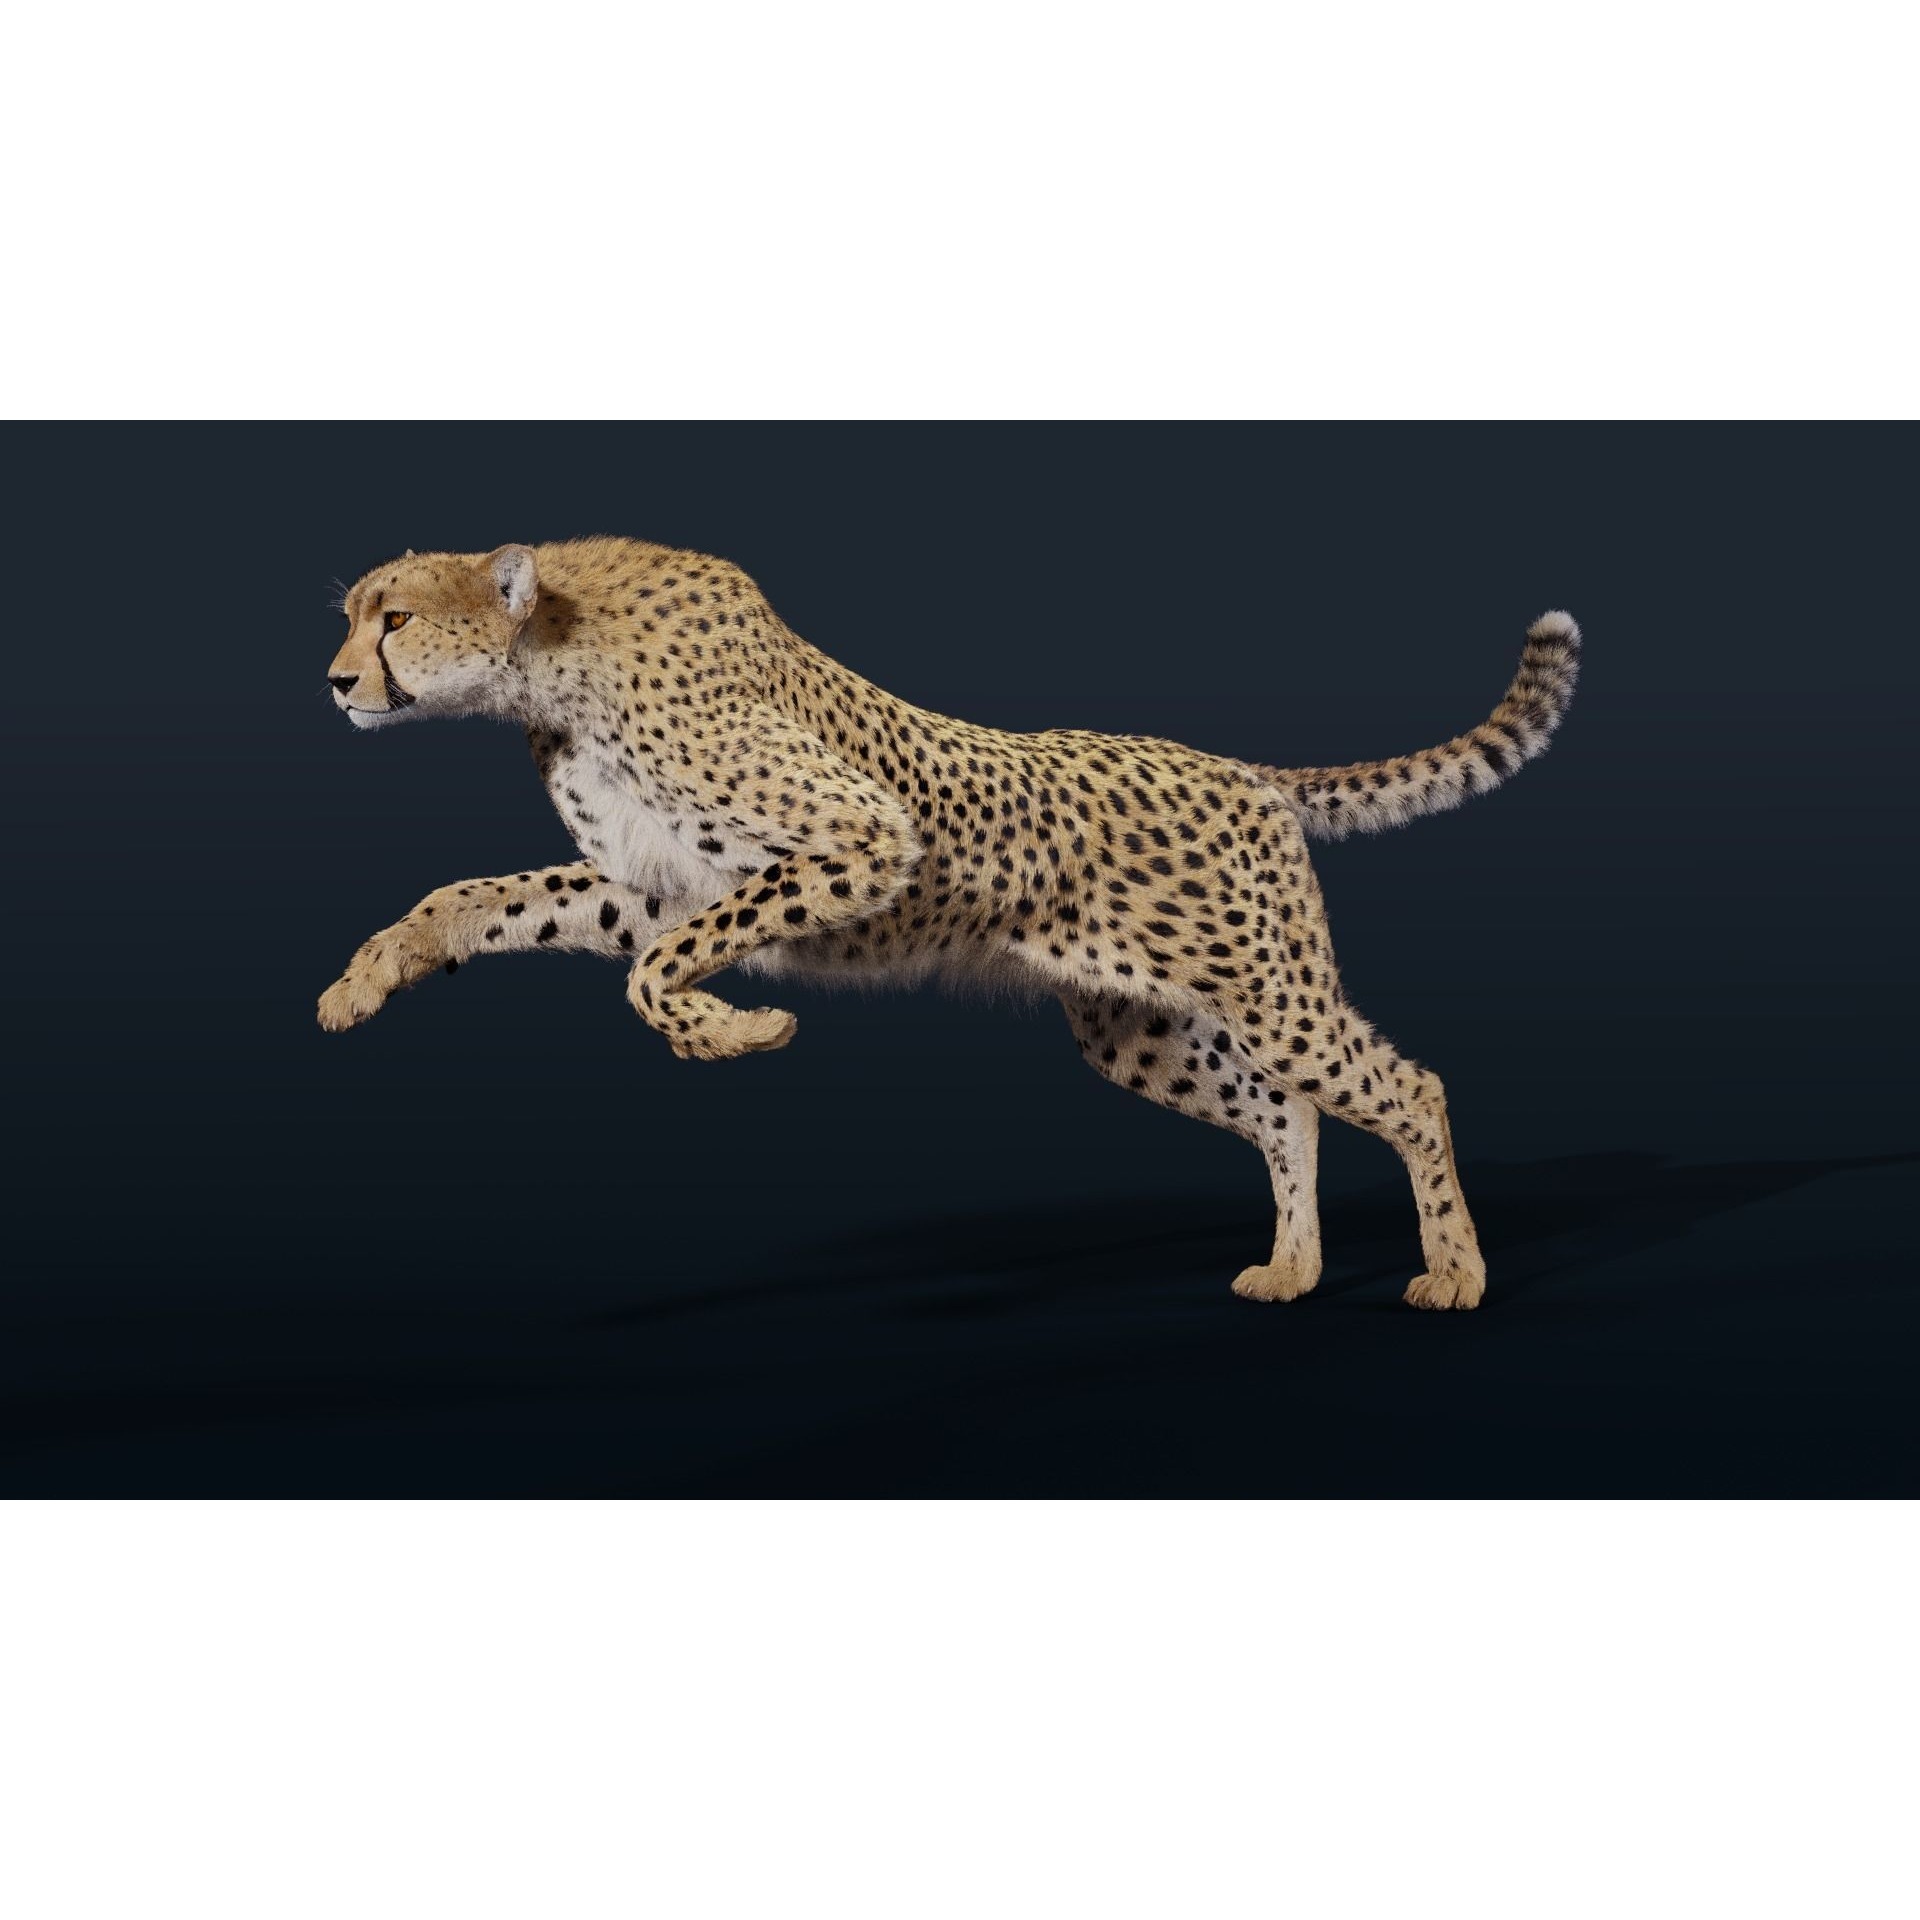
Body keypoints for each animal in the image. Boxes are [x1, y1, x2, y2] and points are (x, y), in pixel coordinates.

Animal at [319, 537, 1580, 1310]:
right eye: (353, 618)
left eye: (394, 619)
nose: (334, 683)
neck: (549, 653)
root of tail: (1239, 768)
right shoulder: (653, 884)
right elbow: (479, 901)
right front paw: (371, 975)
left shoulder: (857, 841)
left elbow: (655, 975)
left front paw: (742, 1033)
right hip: (1138, 1030)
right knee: (1290, 1113)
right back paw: (1294, 1267)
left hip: (1269, 989)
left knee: (1404, 1086)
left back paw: (1455, 1272)